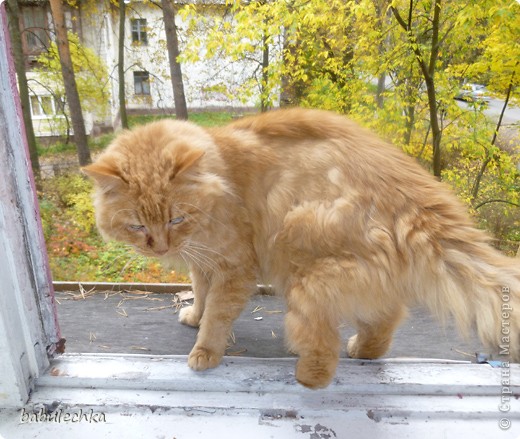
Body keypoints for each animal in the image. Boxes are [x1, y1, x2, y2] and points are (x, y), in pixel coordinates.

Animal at [83, 109, 516, 388]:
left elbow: (217, 316)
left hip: (301, 266)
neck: (221, 173)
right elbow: (201, 296)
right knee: (387, 316)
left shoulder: (234, 267)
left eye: (175, 219)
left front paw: (205, 350)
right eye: (138, 225)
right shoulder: (203, 262)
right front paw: (193, 315)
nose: (159, 247)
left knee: (327, 350)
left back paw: (307, 377)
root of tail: (412, 192)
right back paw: (364, 351)